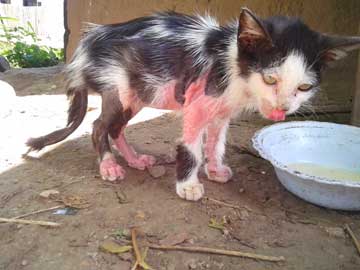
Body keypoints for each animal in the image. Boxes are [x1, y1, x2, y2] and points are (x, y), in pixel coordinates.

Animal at [26, 7, 360, 200]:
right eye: (270, 79)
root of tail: (86, 43)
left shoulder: (222, 112)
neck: (232, 65)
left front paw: (215, 169)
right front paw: (188, 185)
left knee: (116, 127)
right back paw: (109, 166)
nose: (282, 108)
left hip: (139, 92)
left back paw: (134, 160)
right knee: (98, 126)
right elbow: (191, 146)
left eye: (303, 87)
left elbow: (216, 143)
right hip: (118, 88)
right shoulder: (198, 102)